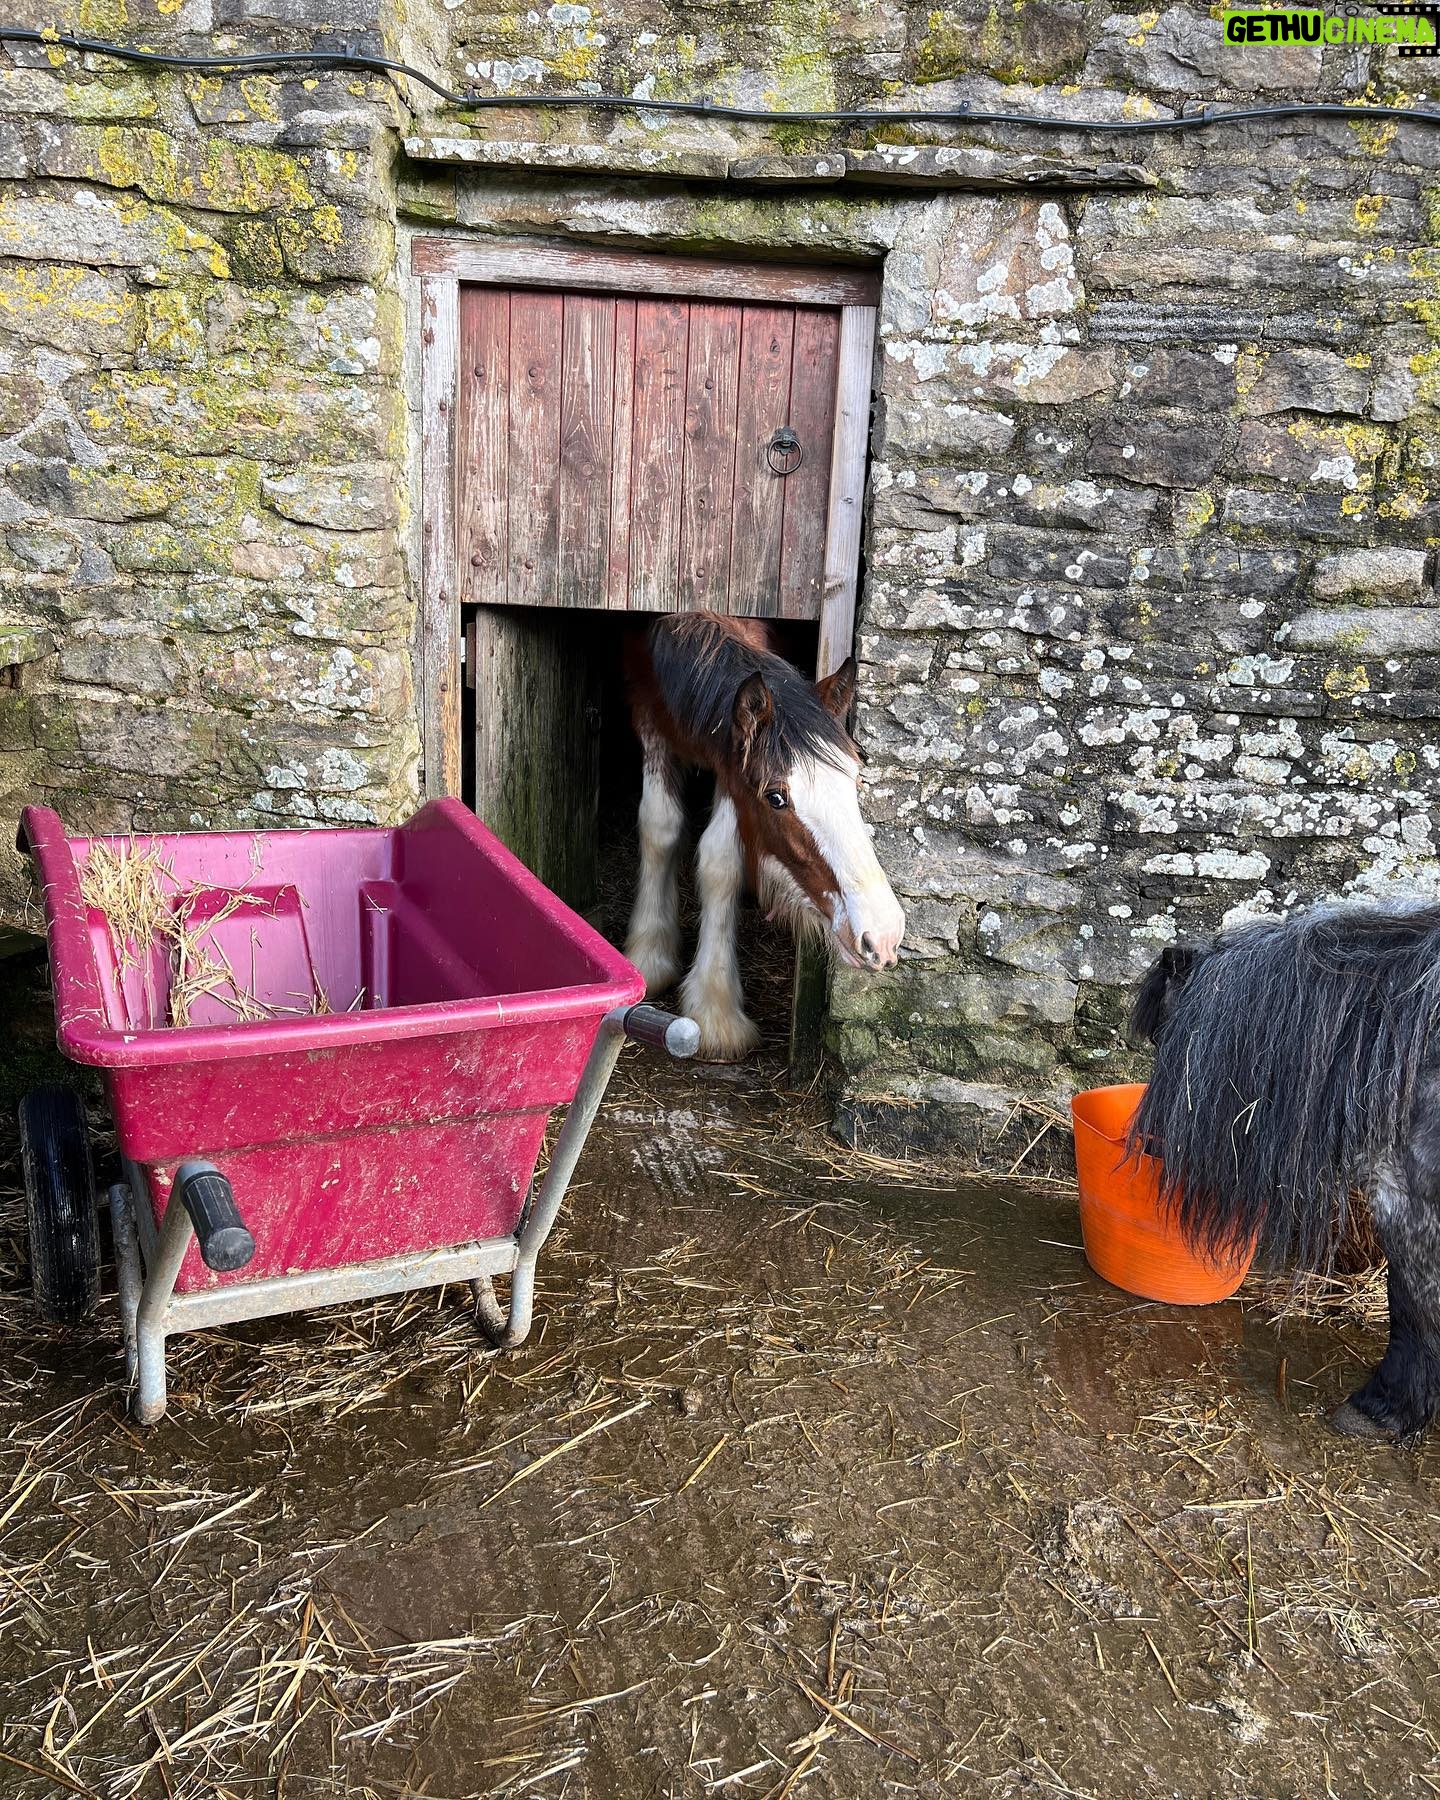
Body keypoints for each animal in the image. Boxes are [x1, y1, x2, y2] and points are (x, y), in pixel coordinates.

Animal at [622, 611, 905, 1061]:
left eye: (855, 780)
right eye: (776, 797)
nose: (883, 934)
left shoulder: (730, 764)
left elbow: (721, 861)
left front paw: (715, 1007)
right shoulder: (646, 710)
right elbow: (659, 828)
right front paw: (649, 955)